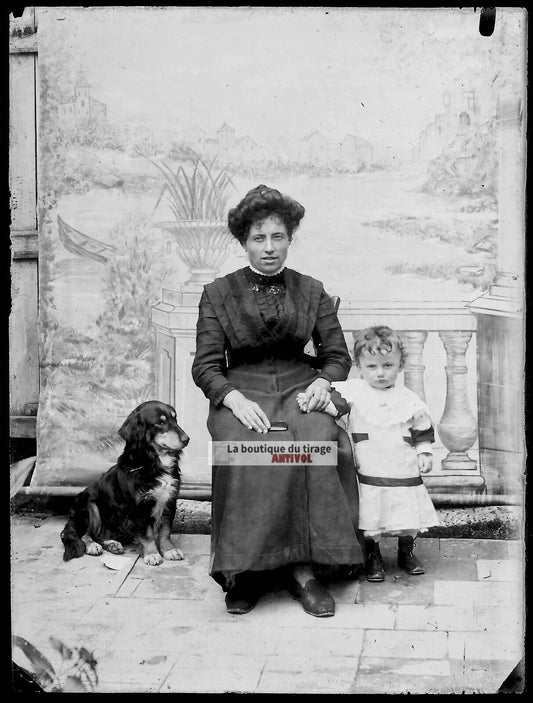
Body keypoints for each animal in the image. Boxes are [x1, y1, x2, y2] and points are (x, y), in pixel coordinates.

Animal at [60, 402, 188, 568]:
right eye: (160, 422)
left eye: (175, 418)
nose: (187, 439)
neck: (151, 463)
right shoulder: (139, 507)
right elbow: (148, 534)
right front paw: (152, 554)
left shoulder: (169, 501)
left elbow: (165, 531)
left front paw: (169, 550)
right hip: (89, 505)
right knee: (85, 534)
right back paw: (92, 546)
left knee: (100, 534)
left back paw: (112, 544)